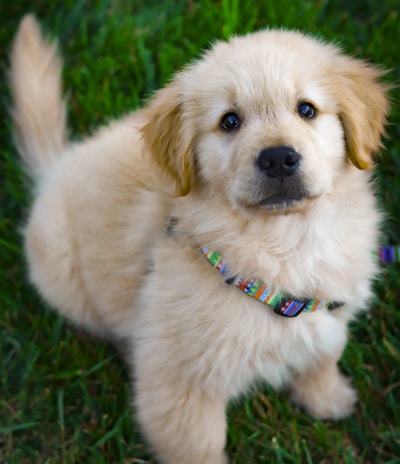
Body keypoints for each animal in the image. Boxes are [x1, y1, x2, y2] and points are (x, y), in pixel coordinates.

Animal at [9, 14, 390, 464]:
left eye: (307, 110)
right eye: (229, 121)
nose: (278, 158)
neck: (283, 243)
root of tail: (56, 167)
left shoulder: (329, 312)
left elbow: (322, 356)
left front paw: (329, 399)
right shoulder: (181, 380)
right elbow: (196, 444)